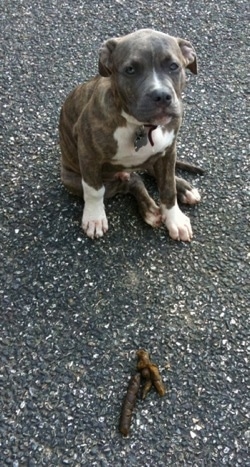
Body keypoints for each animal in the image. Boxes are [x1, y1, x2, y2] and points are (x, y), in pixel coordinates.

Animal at [59, 29, 203, 241]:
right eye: (130, 70)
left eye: (173, 66)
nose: (162, 95)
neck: (142, 126)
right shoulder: (88, 154)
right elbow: (93, 190)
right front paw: (94, 218)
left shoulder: (169, 151)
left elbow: (168, 187)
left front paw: (175, 219)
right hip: (74, 179)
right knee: (131, 181)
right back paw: (150, 210)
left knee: (153, 174)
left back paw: (184, 189)